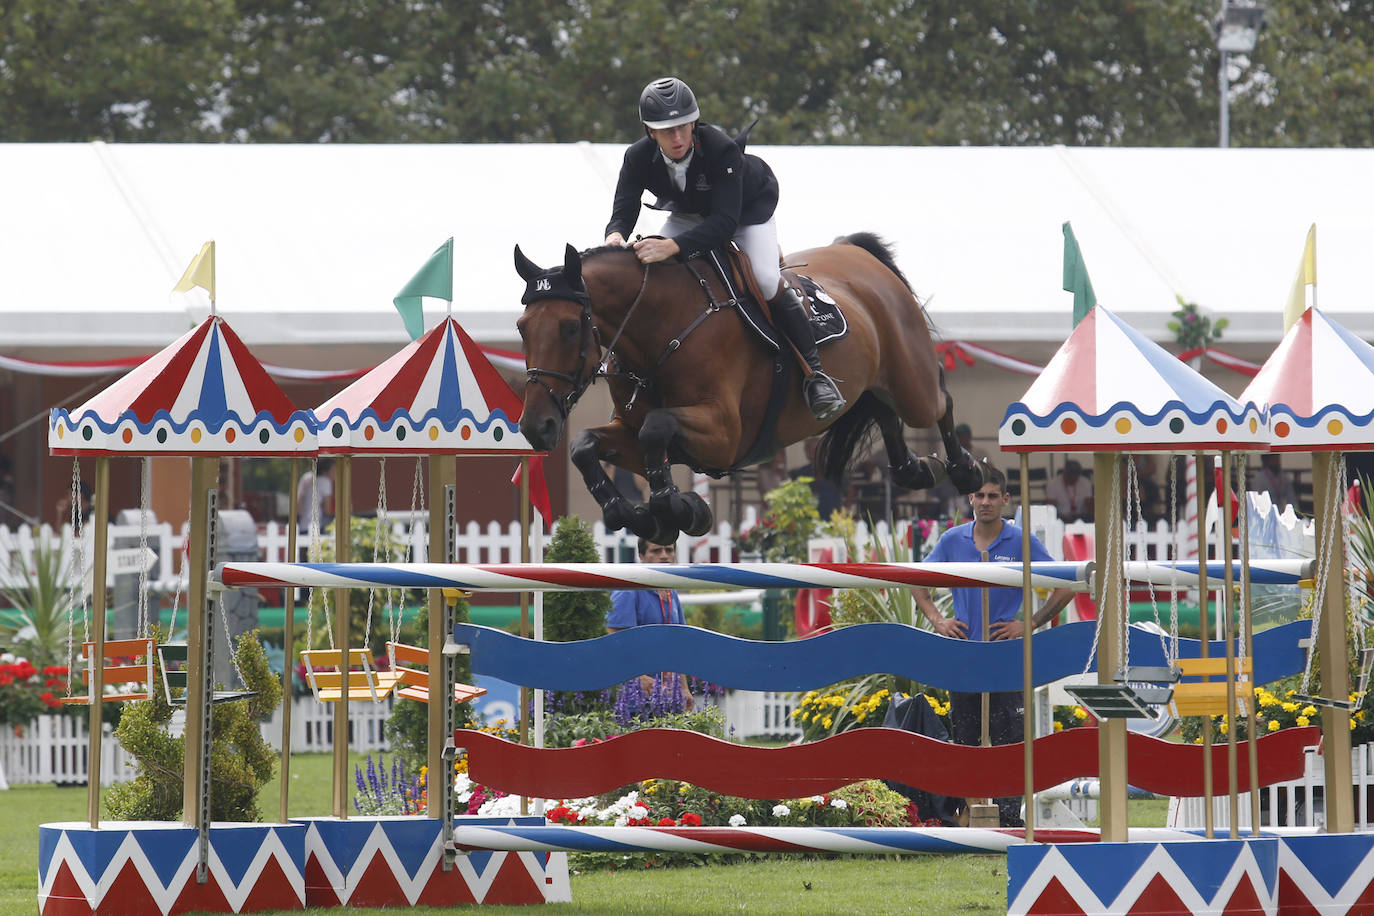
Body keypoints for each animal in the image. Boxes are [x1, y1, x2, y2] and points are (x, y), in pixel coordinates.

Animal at [513, 233, 978, 543]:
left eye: (570, 327)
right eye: (521, 327)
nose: (537, 427)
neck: (661, 329)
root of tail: (858, 253)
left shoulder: (723, 436)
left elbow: (656, 429)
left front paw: (682, 509)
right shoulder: (634, 435)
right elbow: (586, 446)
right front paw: (641, 517)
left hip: (912, 382)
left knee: (939, 400)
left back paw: (966, 469)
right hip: (875, 383)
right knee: (882, 408)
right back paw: (917, 468)